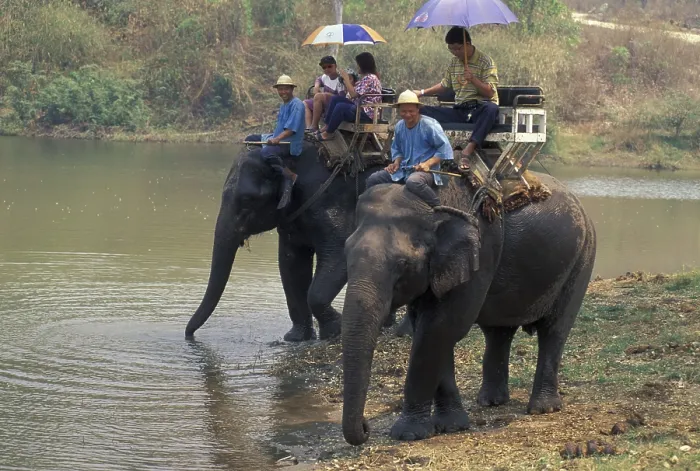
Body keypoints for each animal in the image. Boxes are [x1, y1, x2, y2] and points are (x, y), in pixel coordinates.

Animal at [185, 143, 385, 342]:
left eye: (248, 200)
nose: (189, 336)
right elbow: (291, 264)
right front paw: (295, 338)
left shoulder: (329, 200)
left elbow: (340, 252)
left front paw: (334, 331)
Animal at [340, 173, 596, 445]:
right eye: (346, 252)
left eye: (403, 263)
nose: (365, 427)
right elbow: (431, 329)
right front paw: (452, 426)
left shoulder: (479, 255)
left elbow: (441, 328)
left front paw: (408, 434)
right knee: (498, 333)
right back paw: (491, 402)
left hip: (583, 259)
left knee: (554, 330)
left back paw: (543, 408)